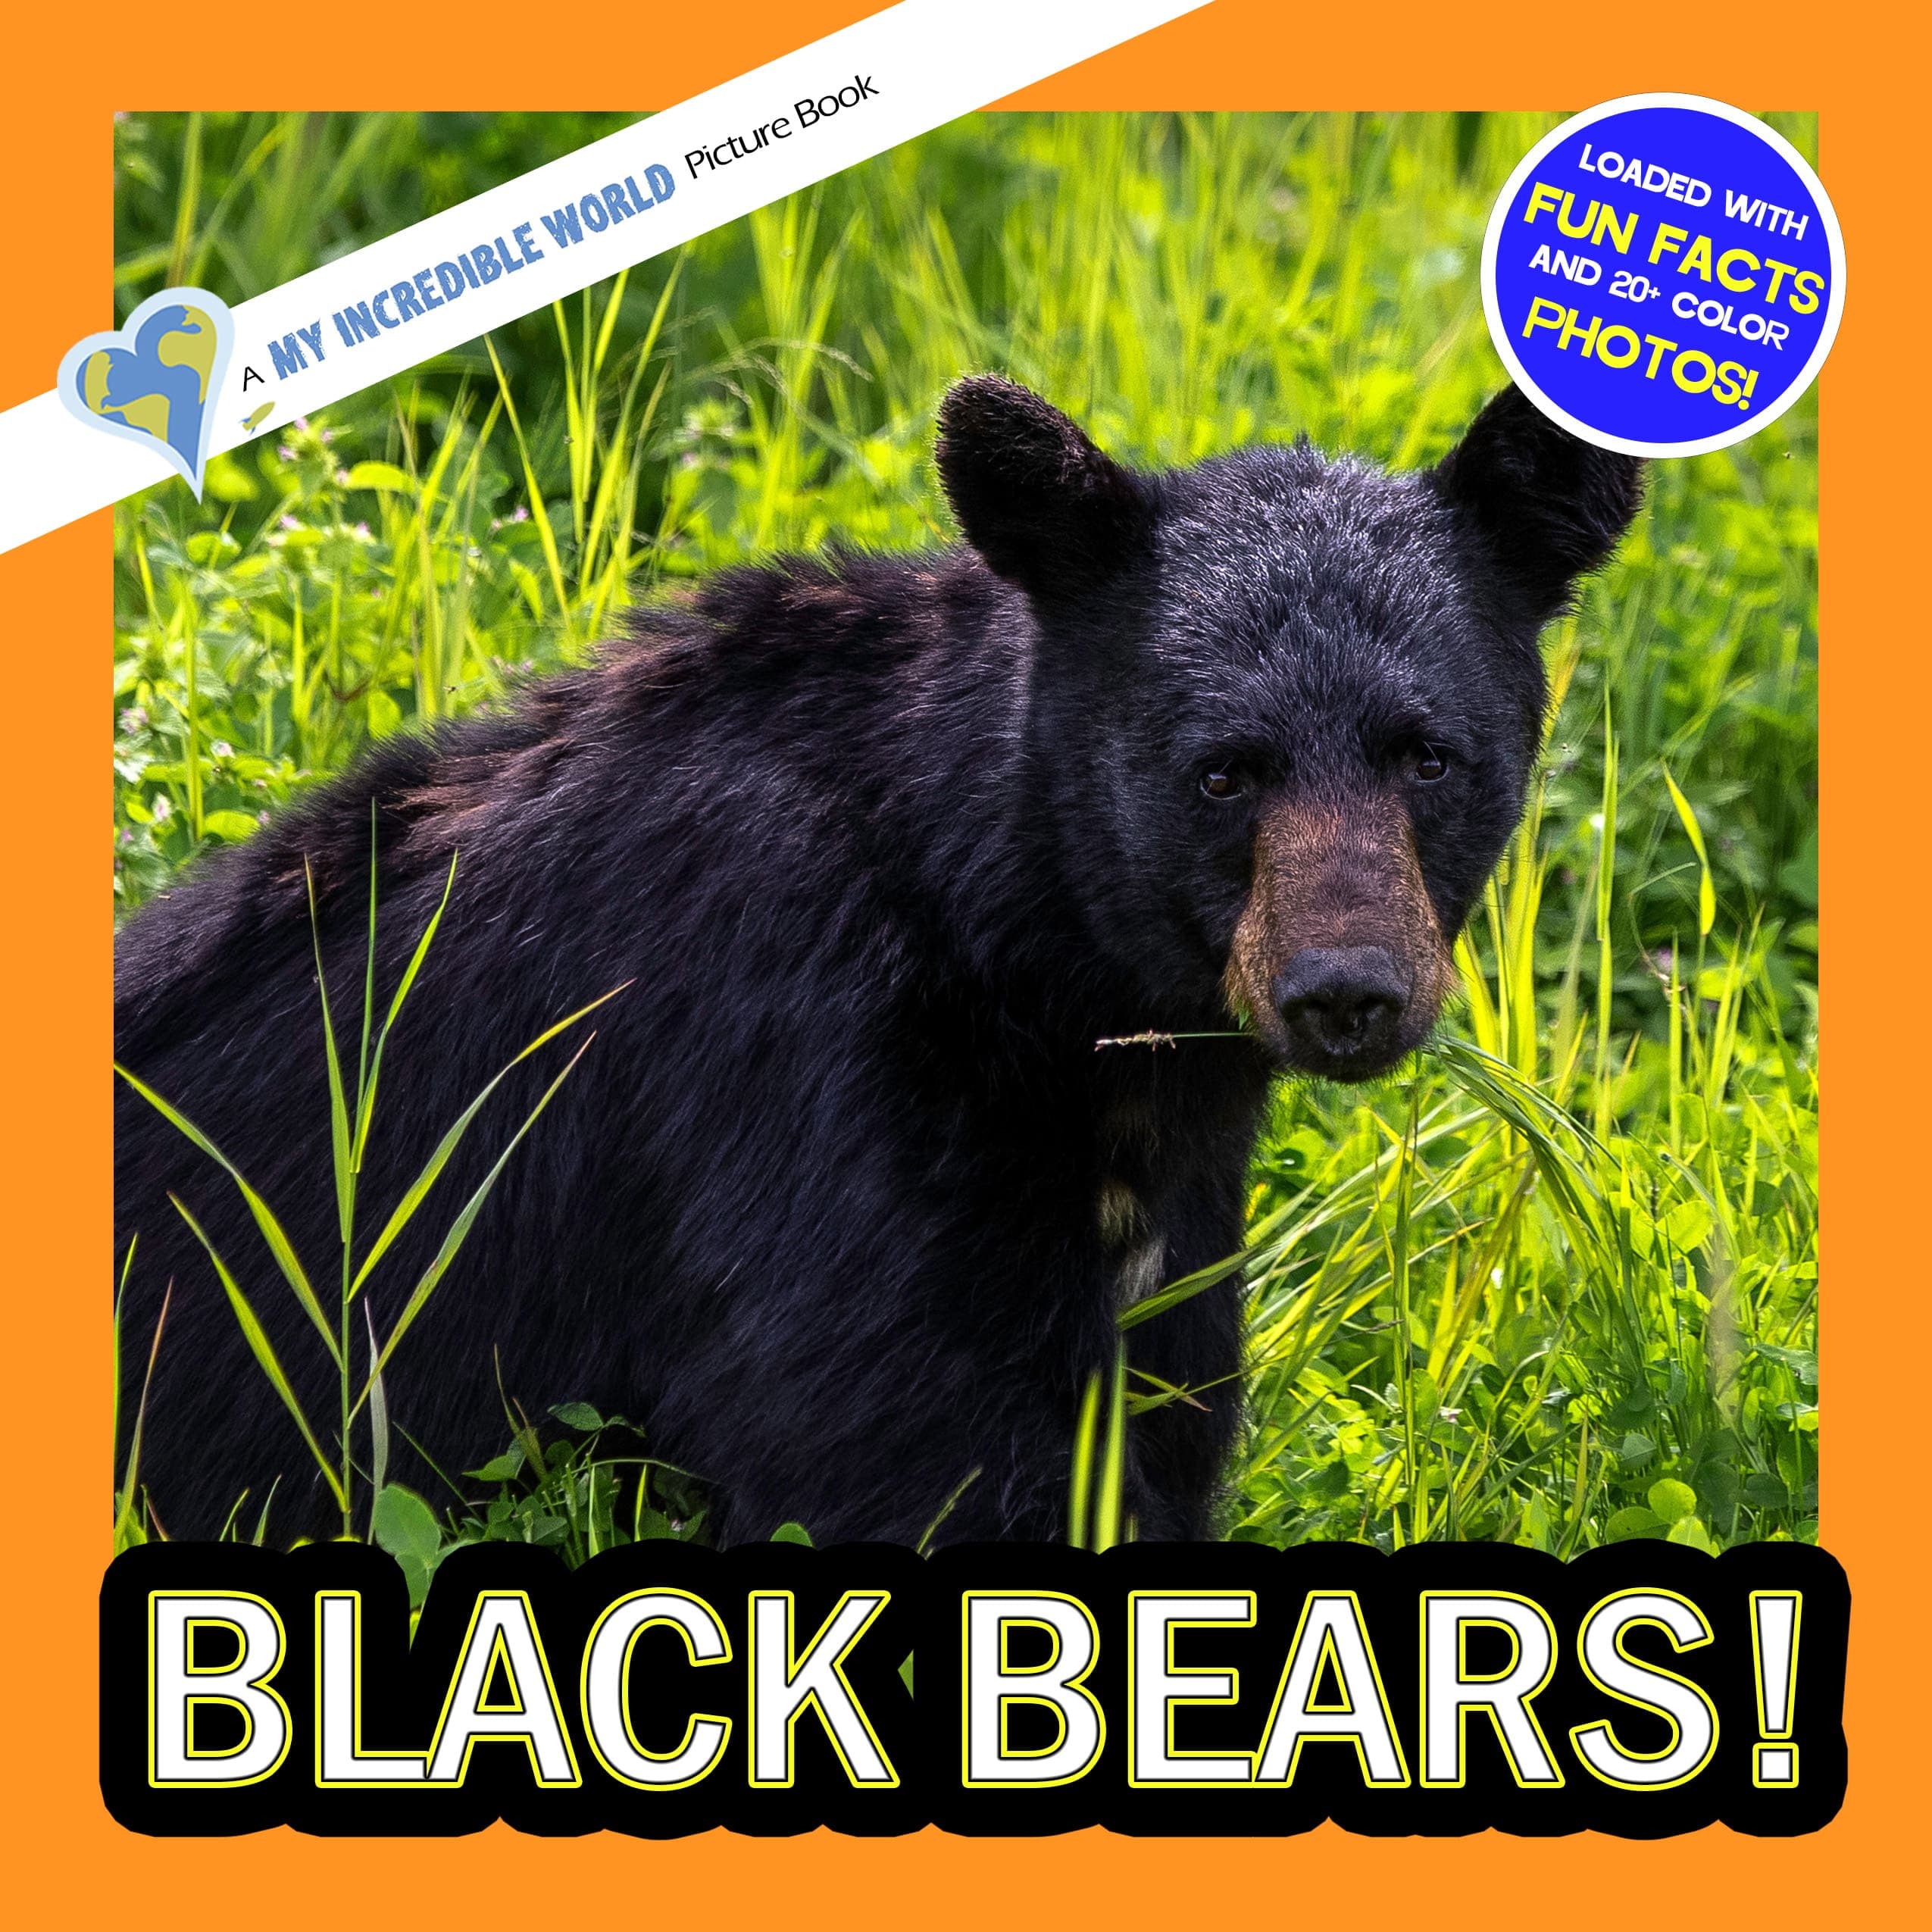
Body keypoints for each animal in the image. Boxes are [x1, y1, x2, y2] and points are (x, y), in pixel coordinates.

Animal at [113, 378, 1642, 1546]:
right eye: (1222, 770)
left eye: (1427, 754)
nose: (1345, 991)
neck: (1021, 952)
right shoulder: (792, 1054)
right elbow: (885, 1437)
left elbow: (1157, 1412)